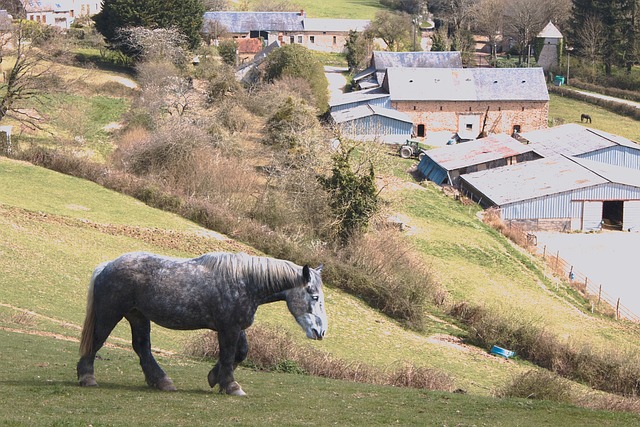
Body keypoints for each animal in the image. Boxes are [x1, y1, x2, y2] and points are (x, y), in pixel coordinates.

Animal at [75, 252, 328, 396]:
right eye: (314, 296)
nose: (321, 331)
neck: (246, 282)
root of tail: (107, 266)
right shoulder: (228, 328)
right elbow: (228, 355)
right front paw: (231, 386)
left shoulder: (235, 327)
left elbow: (240, 353)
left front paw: (214, 377)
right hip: (110, 314)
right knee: (97, 340)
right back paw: (87, 378)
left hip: (138, 316)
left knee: (142, 348)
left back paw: (162, 382)